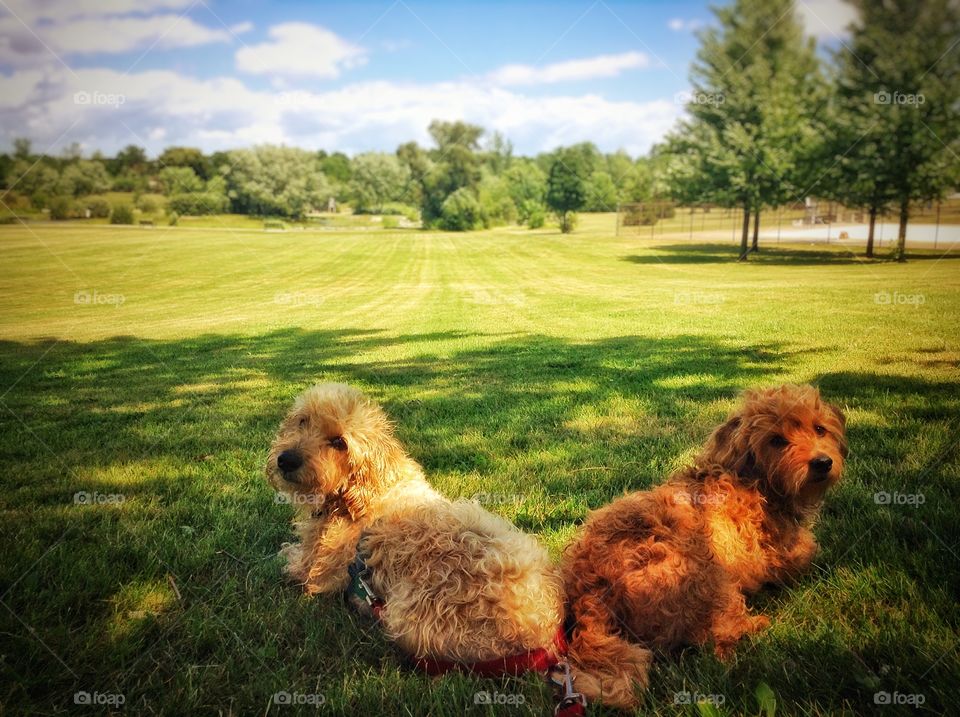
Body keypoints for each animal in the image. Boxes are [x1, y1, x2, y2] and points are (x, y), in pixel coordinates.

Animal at [266, 384, 568, 664]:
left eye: (339, 442)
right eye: (303, 420)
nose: (286, 460)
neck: (363, 491)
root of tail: (540, 632)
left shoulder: (315, 571)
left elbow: (286, 557)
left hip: (405, 617)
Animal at [564, 384, 848, 708]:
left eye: (819, 429)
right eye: (776, 440)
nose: (822, 462)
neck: (754, 481)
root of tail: (588, 591)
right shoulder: (780, 553)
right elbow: (807, 552)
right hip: (702, 569)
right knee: (715, 642)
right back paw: (752, 629)